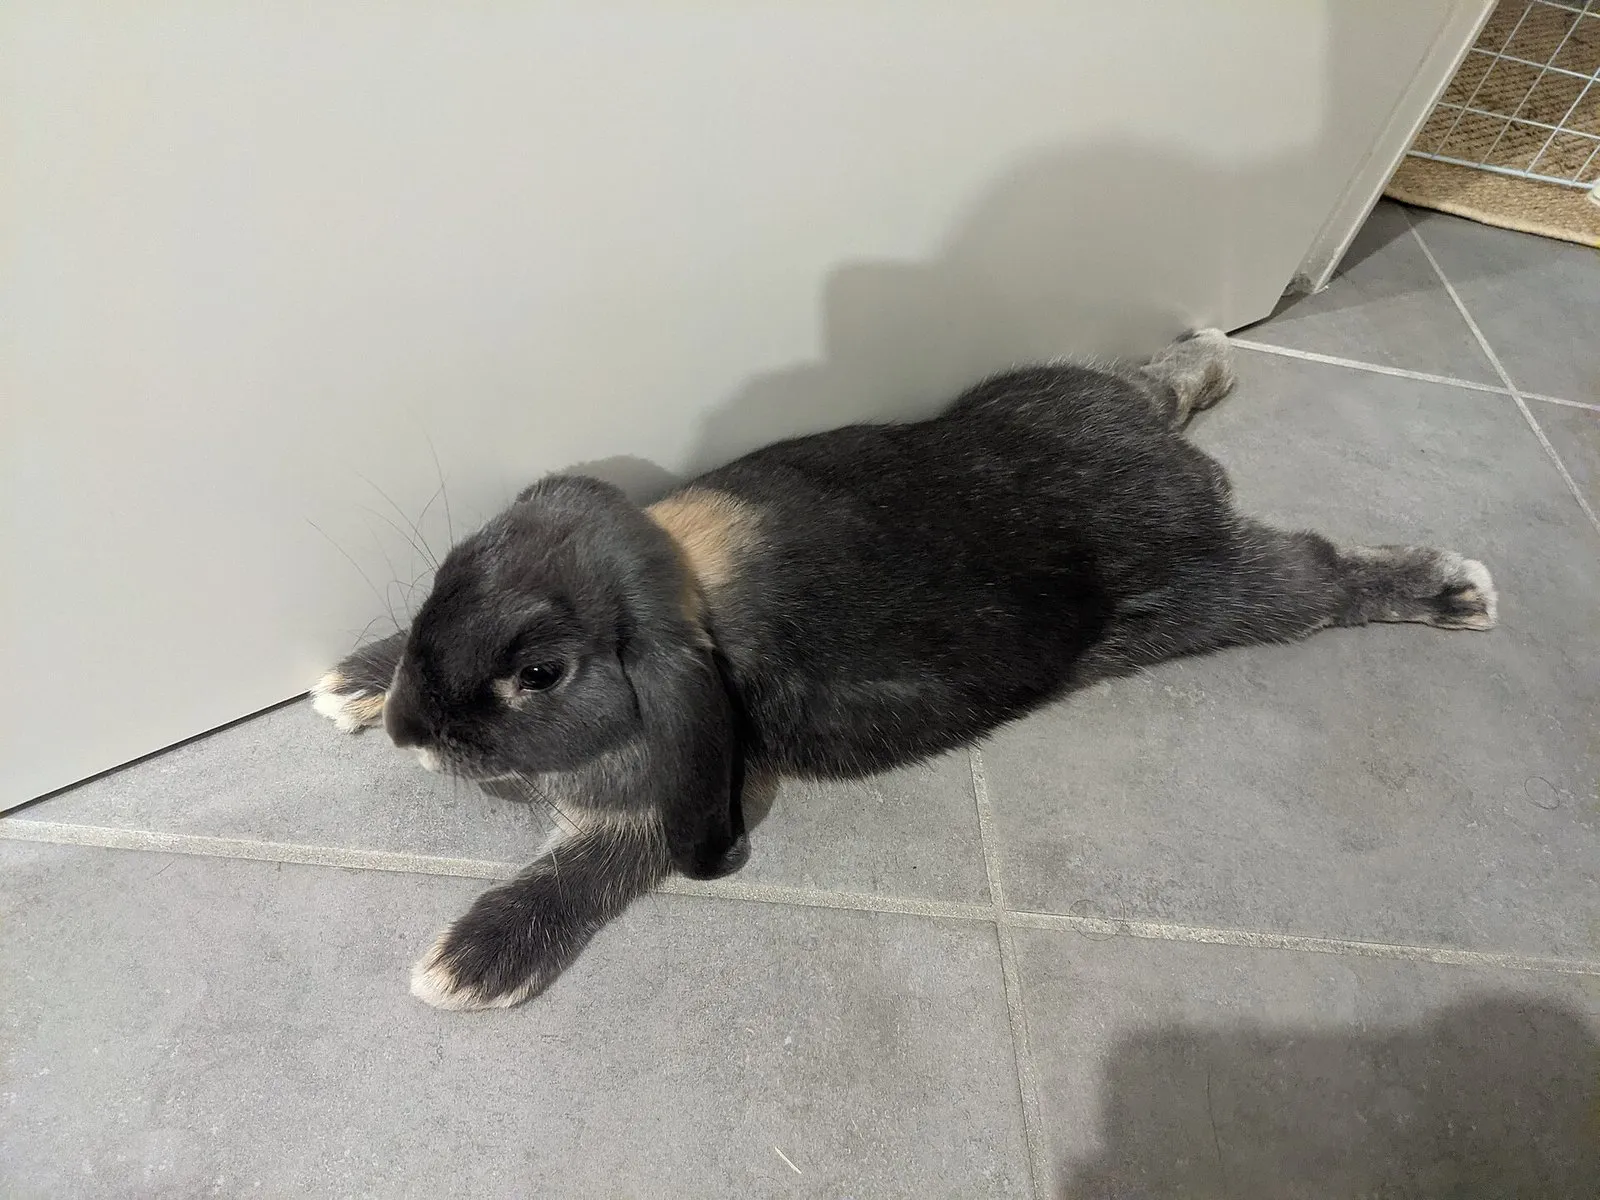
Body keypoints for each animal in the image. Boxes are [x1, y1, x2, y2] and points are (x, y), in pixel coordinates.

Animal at [311, 329, 1496, 1010]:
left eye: (542, 674)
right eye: (443, 578)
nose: (411, 730)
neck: (680, 571)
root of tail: (1188, 476)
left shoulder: (683, 791)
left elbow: (591, 861)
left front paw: (467, 964)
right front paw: (349, 682)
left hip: (1212, 594)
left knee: (1319, 576)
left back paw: (1452, 590)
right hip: (1058, 394)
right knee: (1153, 383)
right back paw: (1207, 353)